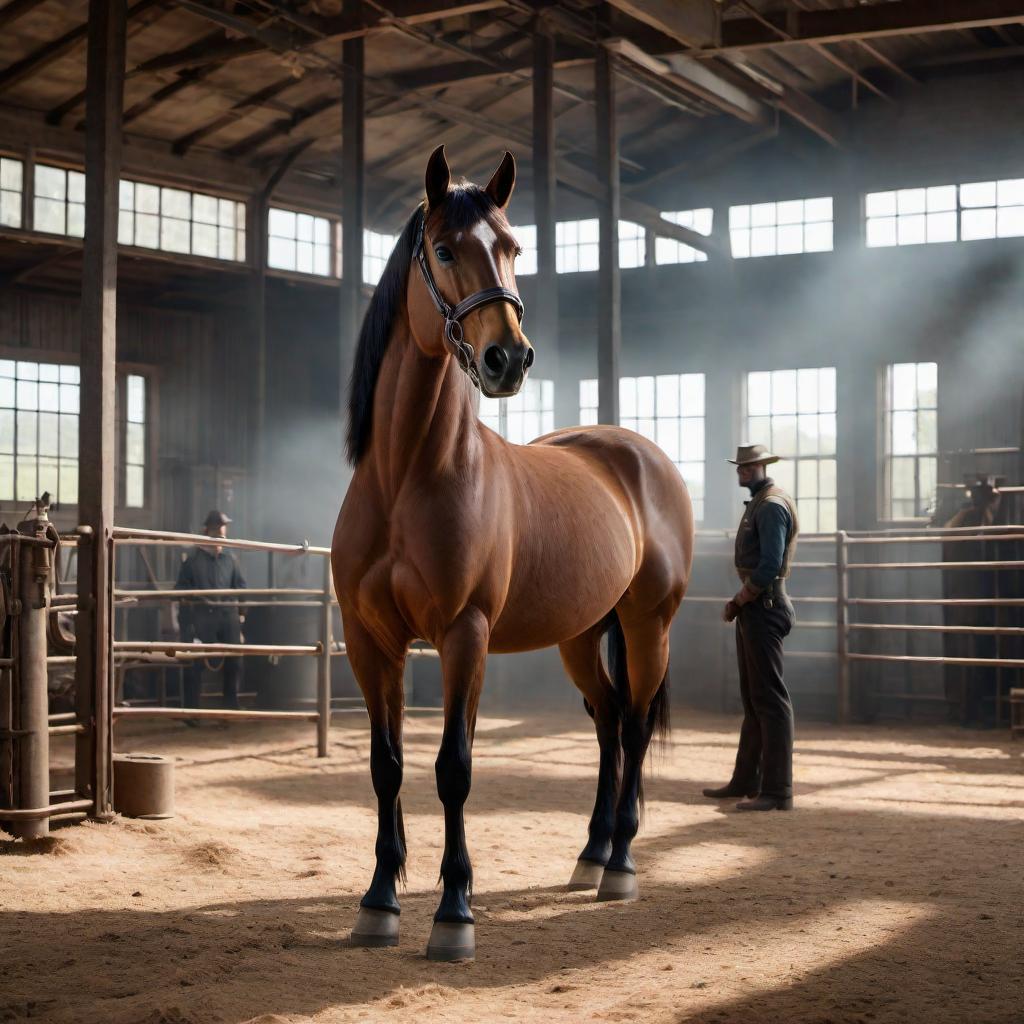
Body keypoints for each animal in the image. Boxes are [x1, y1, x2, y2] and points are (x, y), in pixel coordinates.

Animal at [335, 148, 696, 962]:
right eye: (443, 250)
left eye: (512, 248)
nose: (510, 358)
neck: (409, 476)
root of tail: (640, 455)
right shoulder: (370, 642)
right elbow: (385, 765)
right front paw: (378, 903)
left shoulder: (464, 635)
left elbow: (454, 768)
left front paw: (454, 914)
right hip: (579, 634)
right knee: (606, 719)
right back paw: (591, 853)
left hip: (648, 625)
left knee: (632, 725)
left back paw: (621, 866)